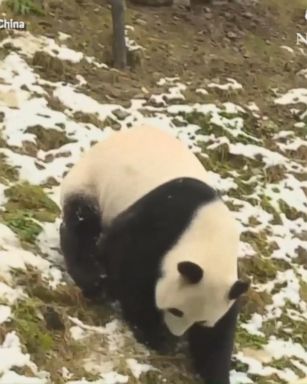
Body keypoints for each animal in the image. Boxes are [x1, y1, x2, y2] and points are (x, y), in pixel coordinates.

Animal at [59, 124, 250, 384]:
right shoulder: (161, 223)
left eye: (201, 321)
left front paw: (216, 371)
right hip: (93, 183)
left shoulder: (229, 279)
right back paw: (91, 276)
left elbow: (219, 333)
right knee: (81, 224)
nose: (175, 333)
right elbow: (127, 267)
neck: (209, 237)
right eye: (176, 310)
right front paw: (155, 335)